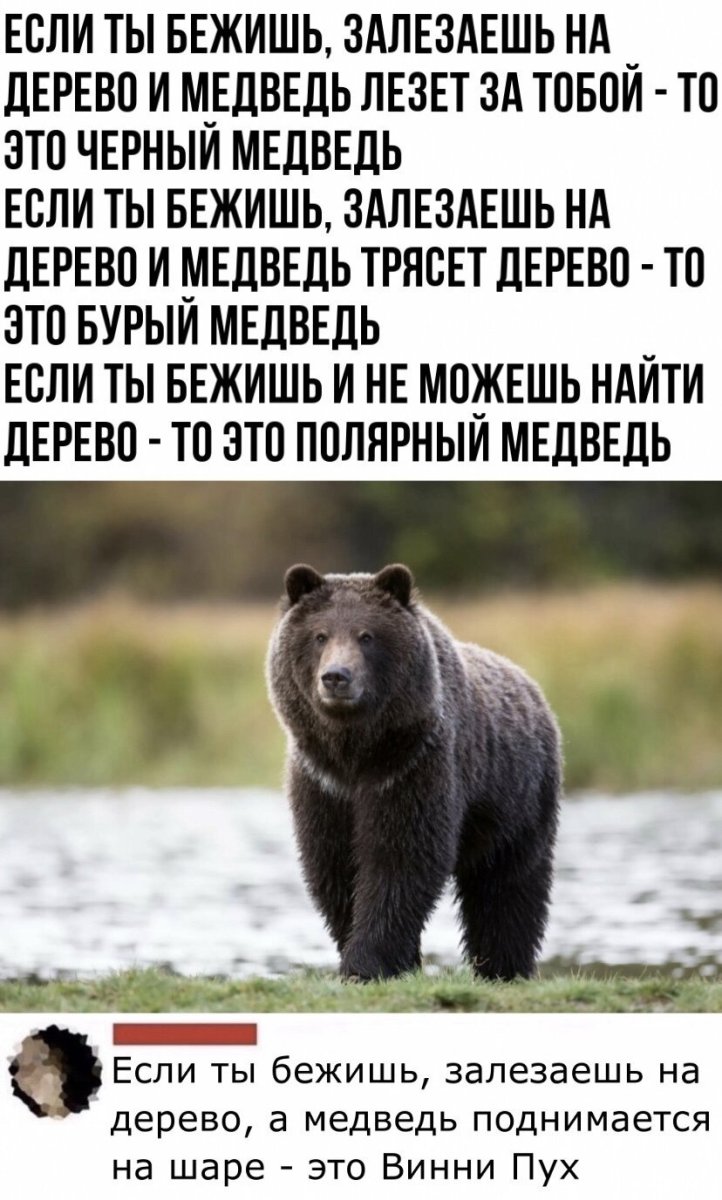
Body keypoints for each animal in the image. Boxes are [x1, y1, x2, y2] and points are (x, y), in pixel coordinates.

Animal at [266, 563, 562, 982]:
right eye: (319, 635)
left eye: (367, 636)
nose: (336, 676)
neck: (356, 752)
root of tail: (531, 686)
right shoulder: (322, 782)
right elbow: (334, 865)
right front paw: (388, 959)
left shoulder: (413, 766)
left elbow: (400, 859)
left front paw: (367, 962)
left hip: (519, 800)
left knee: (508, 885)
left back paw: (503, 966)